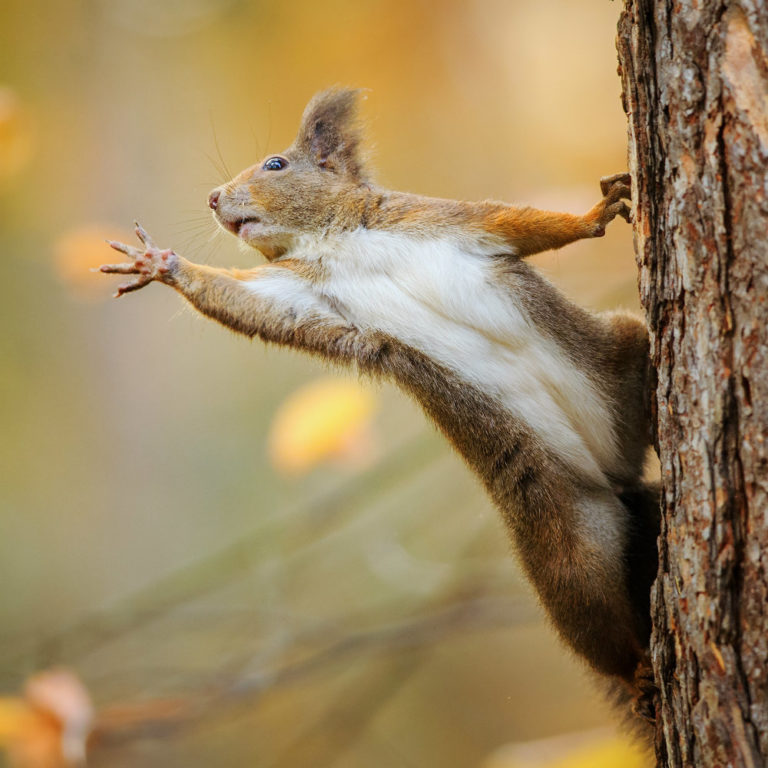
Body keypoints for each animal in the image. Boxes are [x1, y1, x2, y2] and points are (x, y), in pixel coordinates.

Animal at [100, 88, 660, 717]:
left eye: (276, 164)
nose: (214, 197)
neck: (334, 239)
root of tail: (616, 475)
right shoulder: (298, 293)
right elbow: (243, 301)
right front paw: (161, 265)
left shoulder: (436, 219)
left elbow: (516, 223)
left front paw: (594, 215)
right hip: (565, 545)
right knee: (595, 620)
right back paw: (636, 672)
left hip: (619, 352)